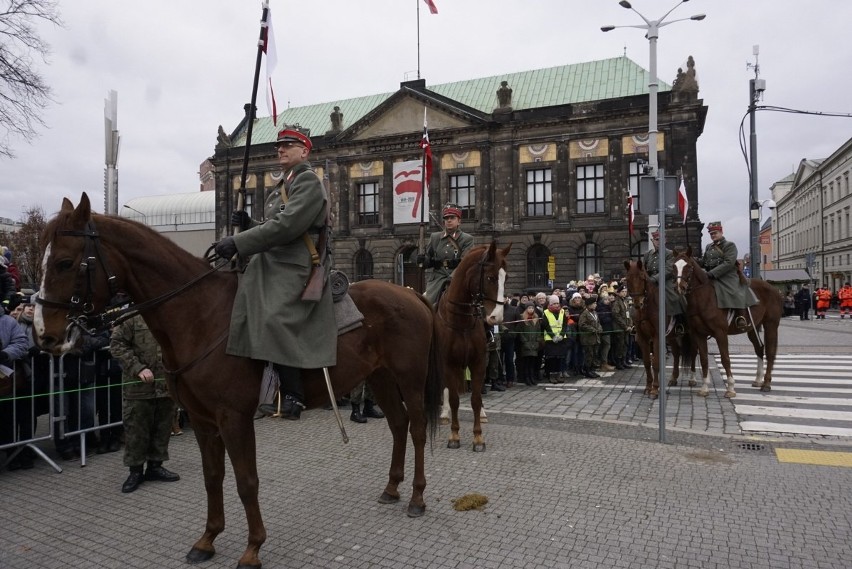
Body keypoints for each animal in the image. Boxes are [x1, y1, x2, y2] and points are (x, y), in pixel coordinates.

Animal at [35, 194, 440, 568]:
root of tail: (411, 293)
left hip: (410, 378)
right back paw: (392, 488)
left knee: (418, 428)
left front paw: (252, 548)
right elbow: (212, 477)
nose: (46, 335)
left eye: (65, 262)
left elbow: (246, 481)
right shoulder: (202, 421)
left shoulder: (234, 418)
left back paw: (417, 497)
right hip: (381, 378)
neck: (202, 315)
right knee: (399, 425)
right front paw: (207, 539)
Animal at [436, 242, 510, 450]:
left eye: (506, 278)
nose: (496, 317)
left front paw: (478, 437)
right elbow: (454, 399)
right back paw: (444, 414)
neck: (461, 319)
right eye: (490, 277)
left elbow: (476, 399)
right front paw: (454, 435)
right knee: (445, 389)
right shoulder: (449, 363)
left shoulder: (478, 362)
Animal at [624, 260, 696, 398]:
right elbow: (647, 362)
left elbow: (656, 362)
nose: (637, 304)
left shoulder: (657, 336)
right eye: (627, 279)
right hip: (672, 337)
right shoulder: (642, 337)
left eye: (642, 278)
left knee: (694, 353)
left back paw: (692, 379)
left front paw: (655, 389)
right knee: (677, 353)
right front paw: (648, 387)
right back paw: (673, 378)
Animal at [672, 246, 784, 398]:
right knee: (759, 348)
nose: (680, 287)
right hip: (753, 327)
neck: (705, 298)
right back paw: (757, 380)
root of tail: (774, 289)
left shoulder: (720, 333)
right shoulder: (699, 334)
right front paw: (704, 388)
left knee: (770, 351)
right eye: (673, 266)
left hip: (770, 325)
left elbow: (725, 358)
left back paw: (766, 384)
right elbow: (704, 359)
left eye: (688, 266)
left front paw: (730, 388)